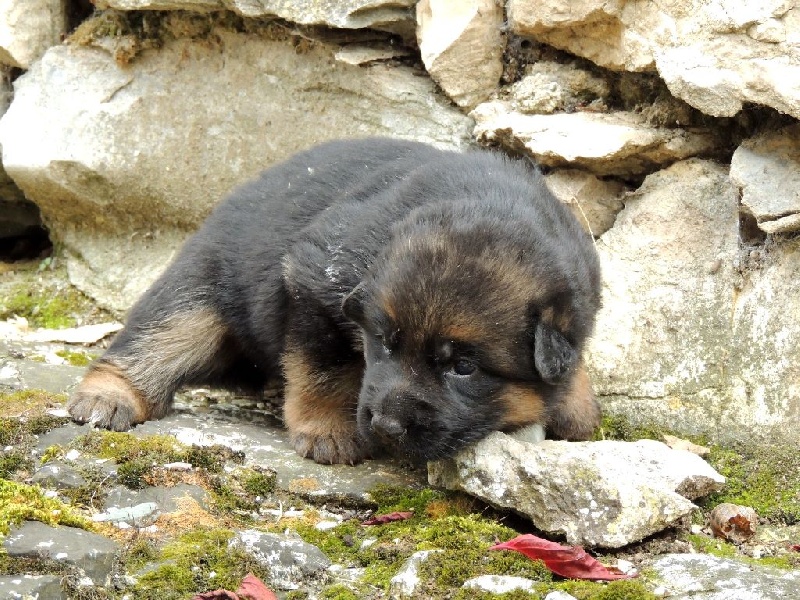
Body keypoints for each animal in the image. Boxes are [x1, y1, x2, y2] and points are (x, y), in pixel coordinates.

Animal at [69, 139, 600, 464]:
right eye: (382, 342)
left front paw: (576, 404)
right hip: (198, 292)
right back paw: (109, 396)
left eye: (463, 367)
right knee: (156, 338)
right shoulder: (313, 288)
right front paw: (331, 430)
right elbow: (326, 369)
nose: (385, 425)